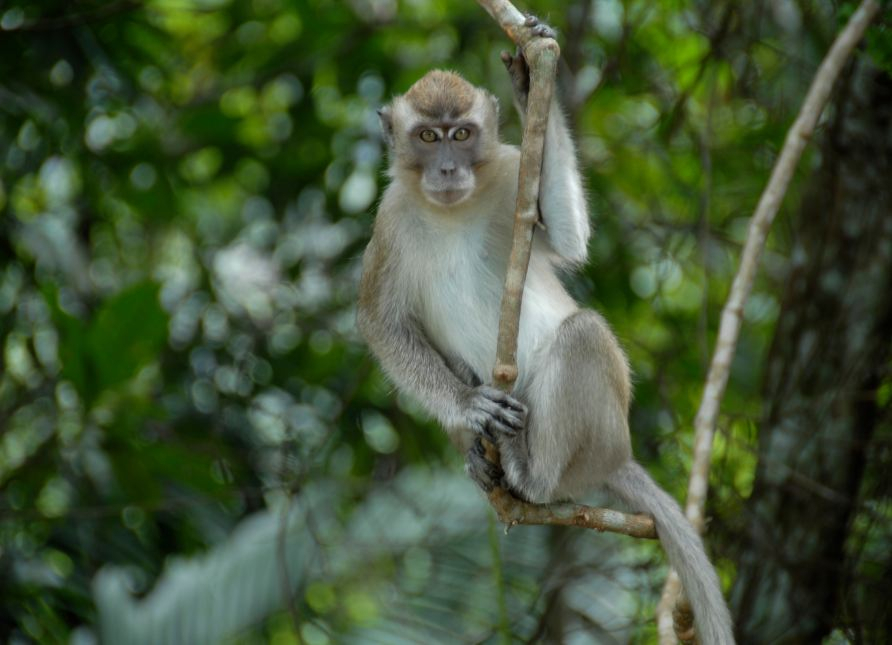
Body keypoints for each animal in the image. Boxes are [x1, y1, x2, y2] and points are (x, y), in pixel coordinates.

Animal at [358, 21, 736, 644]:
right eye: (428, 136)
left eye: (462, 134)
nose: (447, 168)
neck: (451, 211)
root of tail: (616, 457)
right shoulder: (389, 221)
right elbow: (381, 324)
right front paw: (469, 403)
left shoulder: (512, 169)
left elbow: (568, 237)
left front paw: (529, 82)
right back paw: (480, 457)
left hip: (599, 436)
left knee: (582, 333)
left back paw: (529, 476)